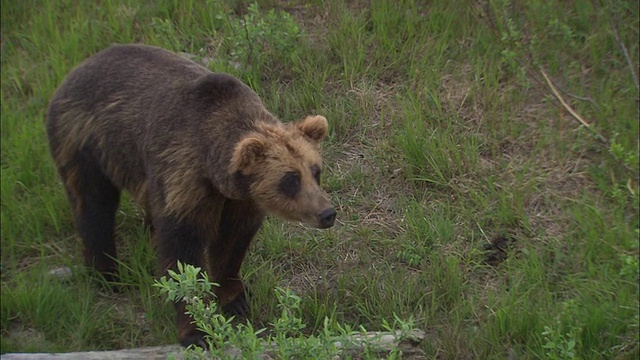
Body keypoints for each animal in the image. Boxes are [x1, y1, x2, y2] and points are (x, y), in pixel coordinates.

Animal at [45, 44, 336, 346]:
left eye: (316, 171)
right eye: (290, 179)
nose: (327, 213)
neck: (214, 173)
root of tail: (78, 67)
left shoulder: (240, 199)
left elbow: (232, 243)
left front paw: (235, 299)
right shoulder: (183, 175)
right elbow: (182, 252)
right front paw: (196, 331)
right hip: (85, 140)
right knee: (93, 205)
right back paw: (106, 273)